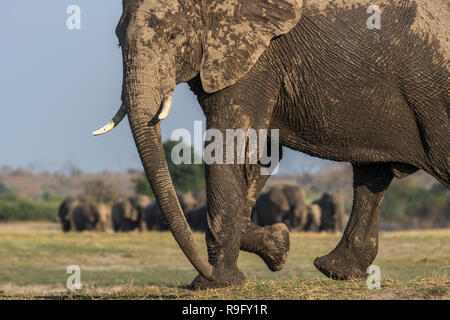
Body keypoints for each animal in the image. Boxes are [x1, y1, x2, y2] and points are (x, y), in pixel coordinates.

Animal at [93, 0, 448, 288]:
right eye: (118, 40)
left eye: (172, 36)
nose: (204, 274)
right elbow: (259, 155)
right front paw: (279, 246)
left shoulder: (258, 57)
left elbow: (230, 145)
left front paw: (217, 284)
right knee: (372, 176)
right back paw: (336, 270)